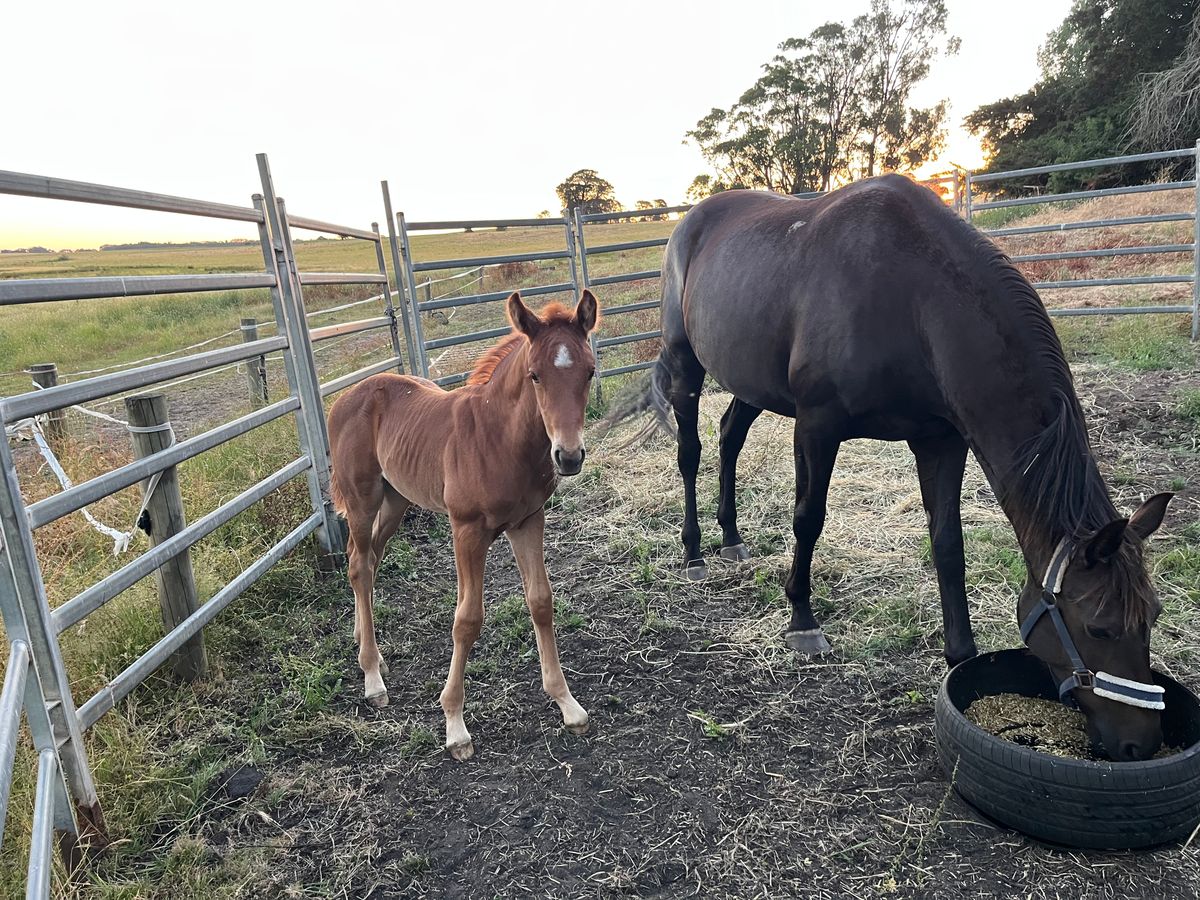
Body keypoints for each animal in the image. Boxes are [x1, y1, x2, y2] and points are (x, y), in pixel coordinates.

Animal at [327, 290, 599, 760]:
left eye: (590, 371)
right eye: (535, 375)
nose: (568, 456)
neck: (499, 439)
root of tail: (341, 400)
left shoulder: (528, 521)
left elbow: (541, 602)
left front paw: (567, 703)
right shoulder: (467, 530)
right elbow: (467, 619)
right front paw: (454, 724)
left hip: (397, 500)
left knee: (367, 561)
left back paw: (370, 651)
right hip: (363, 502)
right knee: (360, 566)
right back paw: (372, 679)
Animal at [609, 176, 1173, 761]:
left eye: (1152, 617)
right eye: (1100, 628)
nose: (1141, 744)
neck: (914, 302)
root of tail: (691, 221)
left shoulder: (940, 440)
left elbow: (948, 543)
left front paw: (960, 656)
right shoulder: (817, 425)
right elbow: (808, 519)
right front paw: (802, 620)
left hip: (751, 381)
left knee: (729, 438)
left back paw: (732, 537)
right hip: (685, 364)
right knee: (691, 452)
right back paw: (695, 551)